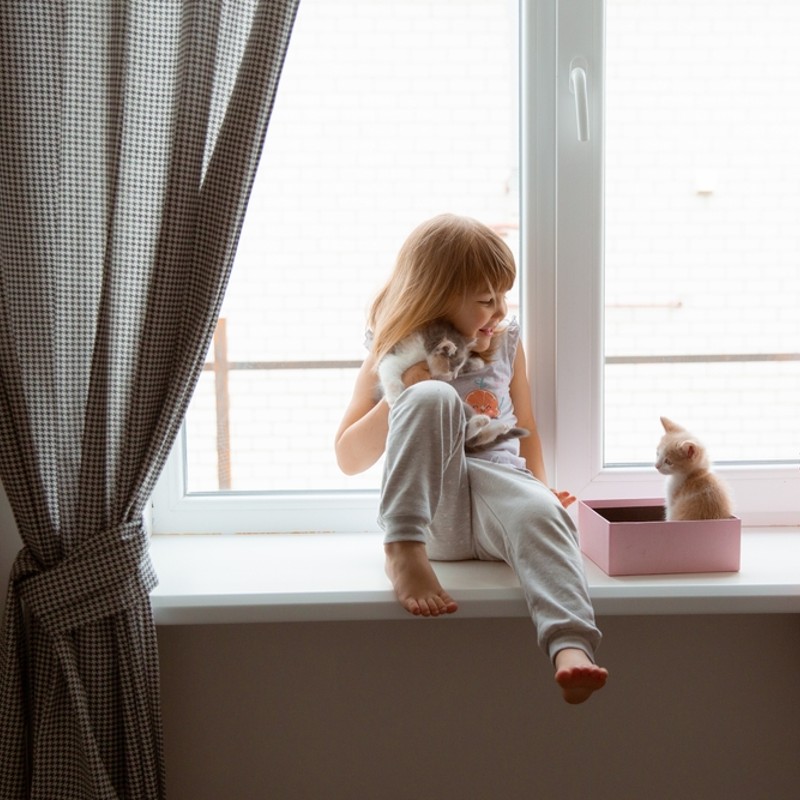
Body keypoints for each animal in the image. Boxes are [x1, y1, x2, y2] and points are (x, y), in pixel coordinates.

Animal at [378, 320, 528, 456]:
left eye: (458, 368)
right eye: (451, 367)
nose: (454, 378)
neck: (423, 351)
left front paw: (476, 362)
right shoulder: (396, 358)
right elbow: (389, 372)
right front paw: (394, 397)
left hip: (465, 407)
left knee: (471, 436)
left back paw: (496, 426)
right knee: (468, 435)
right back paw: (484, 423)